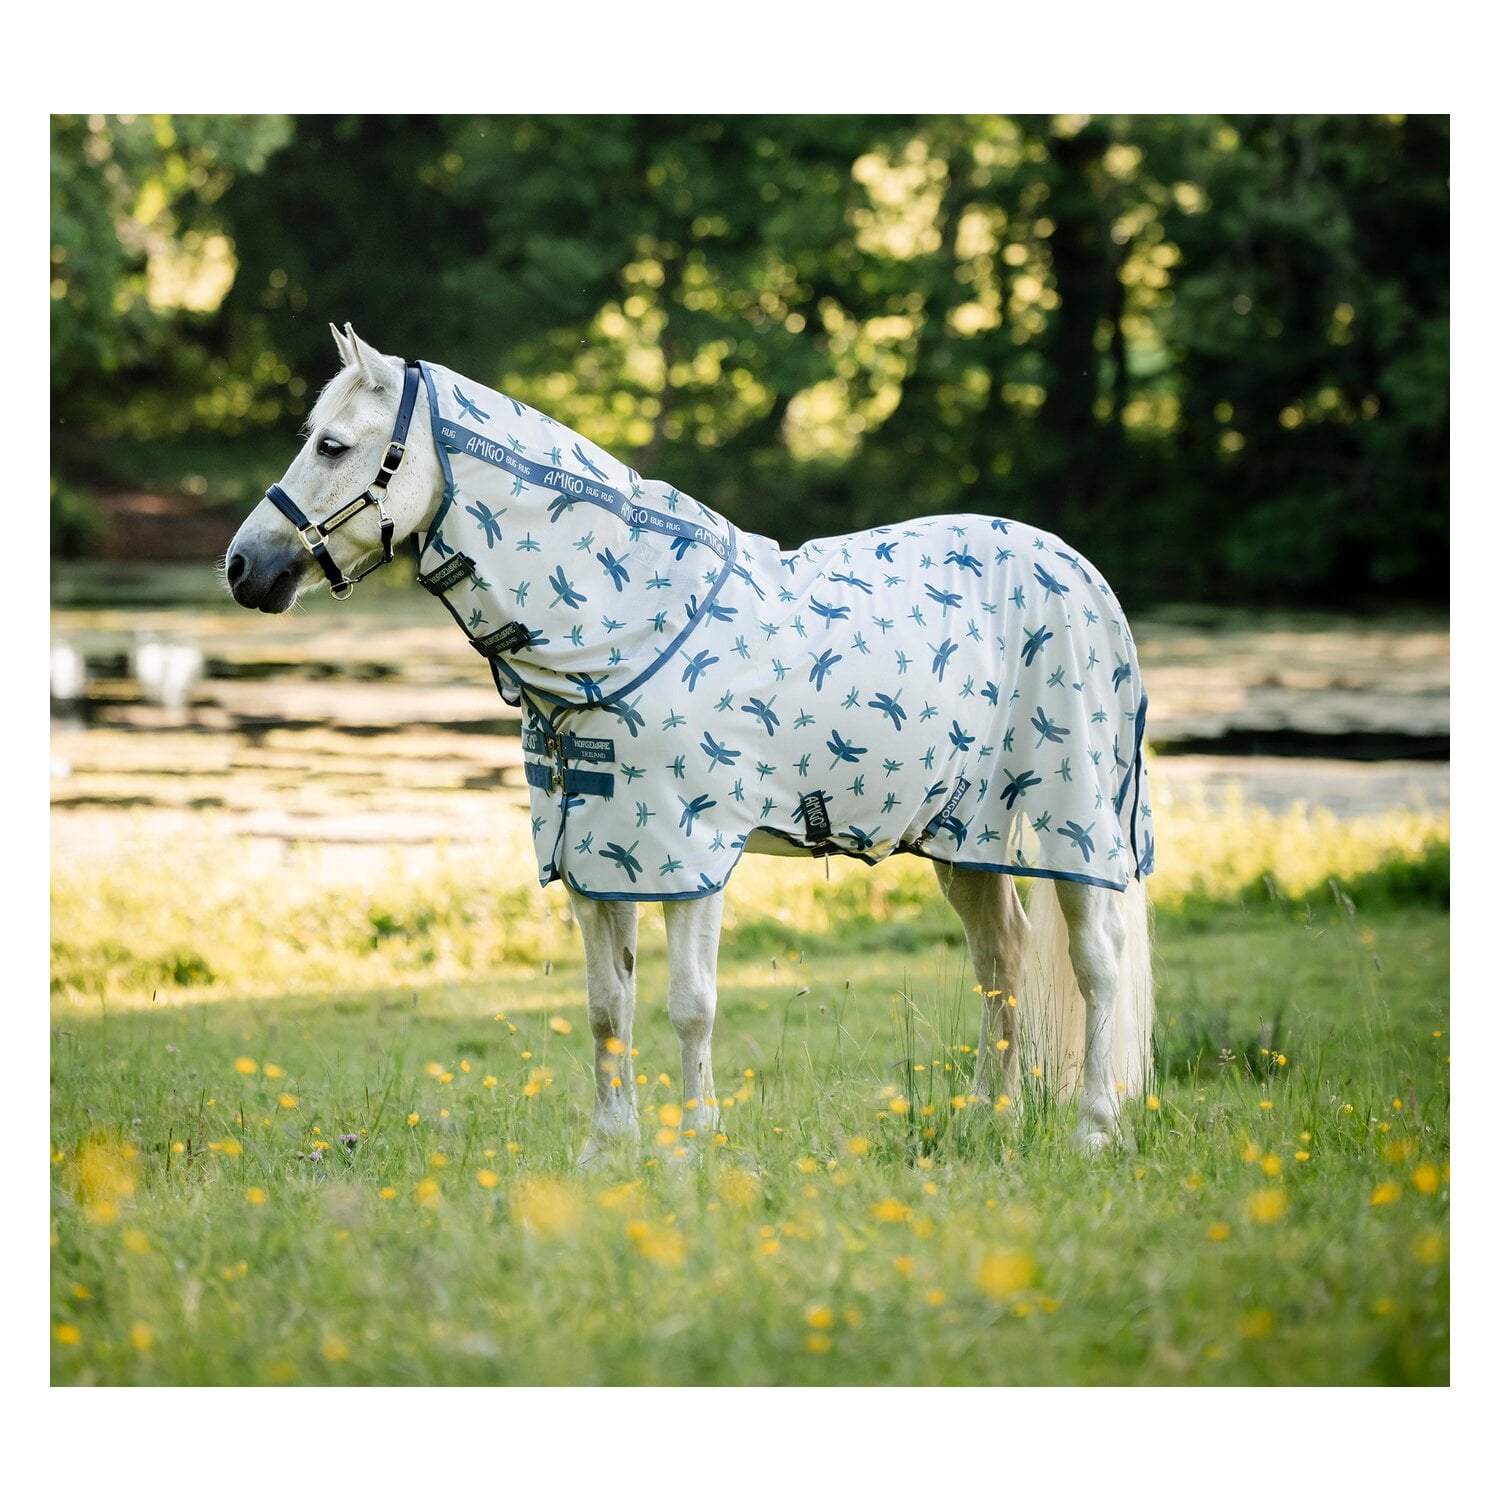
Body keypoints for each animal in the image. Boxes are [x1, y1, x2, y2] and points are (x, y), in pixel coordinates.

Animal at [225, 323, 1156, 1159]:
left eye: (335, 445)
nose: (243, 568)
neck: (625, 628)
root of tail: (1080, 572)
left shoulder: (691, 853)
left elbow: (690, 1004)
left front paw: (696, 1145)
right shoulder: (594, 859)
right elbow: (608, 1005)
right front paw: (609, 1148)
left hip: (1073, 823)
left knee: (1096, 962)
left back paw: (1094, 1130)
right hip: (964, 837)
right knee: (1002, 959)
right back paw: (987, 1119)